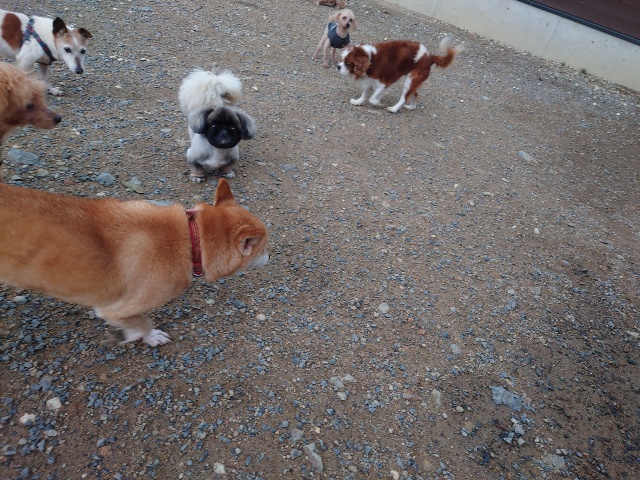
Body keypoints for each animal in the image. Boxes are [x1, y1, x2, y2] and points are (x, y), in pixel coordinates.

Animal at [0, 179, 269, 347]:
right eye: (264, 248)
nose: (270, 256)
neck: (192, 239)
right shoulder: (115, 308)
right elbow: (142, 323)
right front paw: (128, 336)